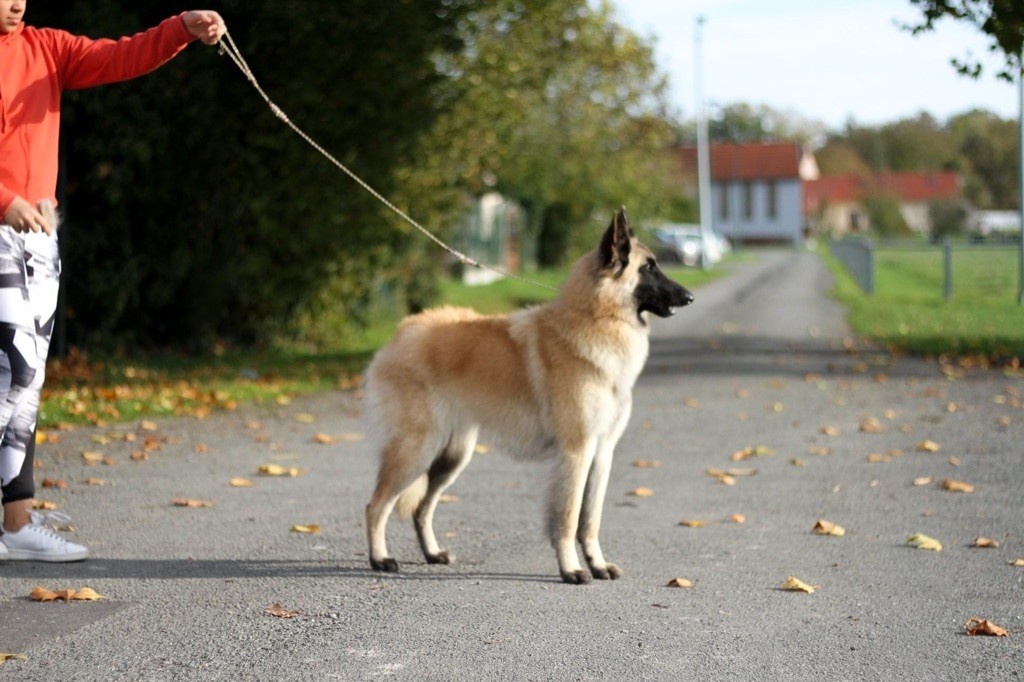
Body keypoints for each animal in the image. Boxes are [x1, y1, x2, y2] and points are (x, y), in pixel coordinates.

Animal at [364, 205, 692, 577]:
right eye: (648, 267)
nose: (689, 297)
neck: (595, 319)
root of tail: (401, 332)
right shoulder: (576, 452)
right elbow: (568, 518)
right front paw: (571, 570)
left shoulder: (602, 452)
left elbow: (590, 520)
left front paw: (597, 563)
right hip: (416, 450)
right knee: (375, 505)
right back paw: (380, 558)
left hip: (451, 457)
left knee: (421, 507)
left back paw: (432, 553)